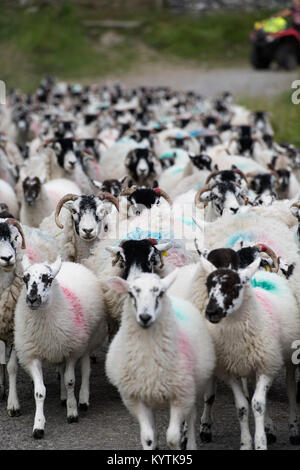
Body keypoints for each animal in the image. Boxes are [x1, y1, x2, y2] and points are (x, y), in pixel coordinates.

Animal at [14, 255, 108, 438]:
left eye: (48, 279)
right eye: (25, 278)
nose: (32, 299)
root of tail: (71, 263)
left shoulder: (72, 351)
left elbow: (70, 381)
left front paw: (72, 412)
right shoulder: (32, 356)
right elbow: (39, 392)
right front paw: (38, 425)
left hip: (86, 341)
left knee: (85, 370)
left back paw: (83, 399)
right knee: (62, 369)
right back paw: (63, 397)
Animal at [105, 272, 216, 452]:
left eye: (160, 293)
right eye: (131, 294)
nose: (145, 317)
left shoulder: (180, 396)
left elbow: (172, 438)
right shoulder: (135, 398)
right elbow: (147, 437)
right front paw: (151, 445)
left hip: (192, 388)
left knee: (191, 416)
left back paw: (191, 444)